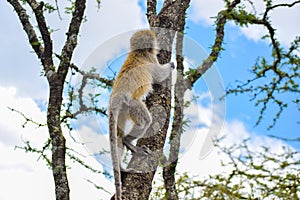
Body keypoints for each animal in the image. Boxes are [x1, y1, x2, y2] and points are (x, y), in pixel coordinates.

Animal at [108, 30, 173, 200]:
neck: (138, 52)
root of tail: (116, 97)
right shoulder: (150, 59)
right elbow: (160, 75)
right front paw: (171, 65)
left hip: (122, 111)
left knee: (117, 137)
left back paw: (122, 168)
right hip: (132, 104)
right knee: (145, 121)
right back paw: (129, 142)